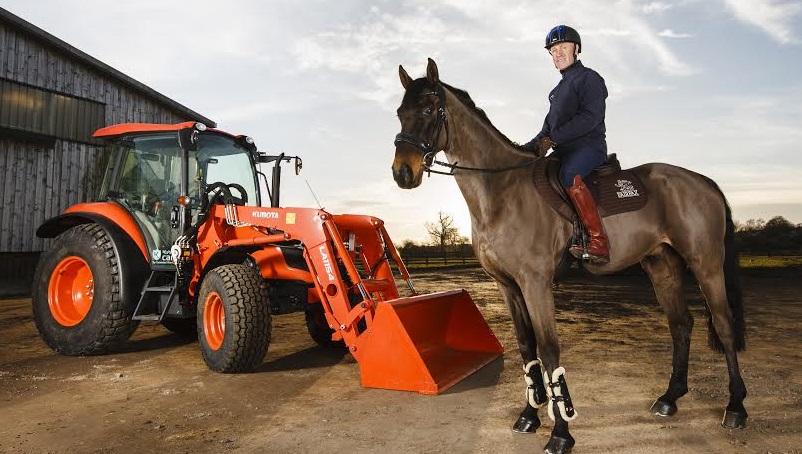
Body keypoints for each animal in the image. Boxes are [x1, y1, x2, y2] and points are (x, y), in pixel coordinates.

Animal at [390, 60, 748, 454]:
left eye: (427, 109)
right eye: (400, 113)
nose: (402, 172)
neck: (501, 193)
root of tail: (702, 181)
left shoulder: (535, 283)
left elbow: (548, 350)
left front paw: (560, 432)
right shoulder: (507, 286)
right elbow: (526, 347)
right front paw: (528, 417)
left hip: (706, 264)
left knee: (725, 325)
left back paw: (735, 407)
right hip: (661, 266)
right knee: (681, 324)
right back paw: (670, 398)